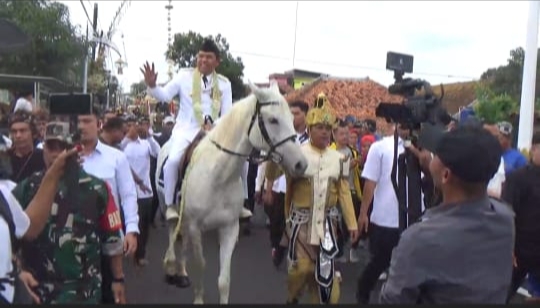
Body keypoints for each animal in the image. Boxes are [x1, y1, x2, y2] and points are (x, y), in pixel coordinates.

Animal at [156, 83, 308, 304]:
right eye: (273, 119)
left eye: (291, 117)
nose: (301, 164)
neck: (218, 176)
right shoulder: (195, 227)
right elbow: (200, 265)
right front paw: (198, 298)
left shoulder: (229, 228)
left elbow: (224, 280)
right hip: (168, 207)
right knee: (171, 233)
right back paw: (172, 267)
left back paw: (182, 273)